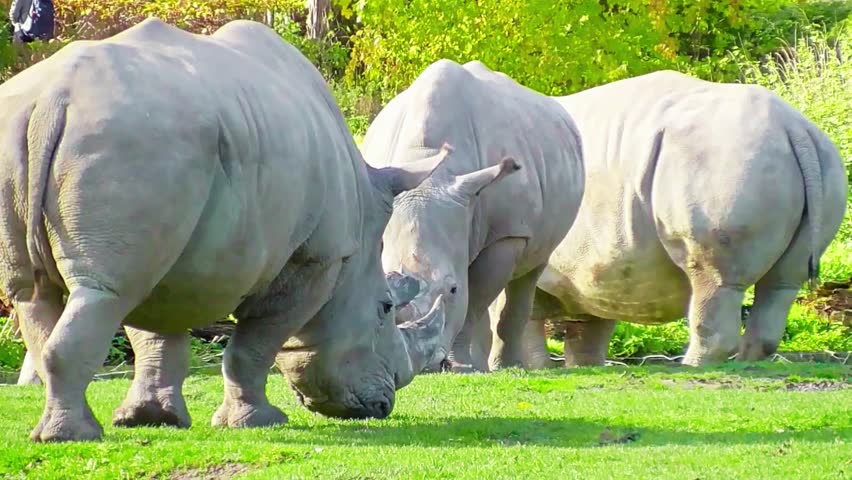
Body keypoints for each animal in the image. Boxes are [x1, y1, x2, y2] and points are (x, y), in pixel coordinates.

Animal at [0, 18, 448, 442]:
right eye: (385, 308)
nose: (382, 404)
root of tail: (52, 100)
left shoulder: (169, 256)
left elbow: (156, 334)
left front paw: (154, 419)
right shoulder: (316, 256)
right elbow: (254, 345)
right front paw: (258, 422)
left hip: (60, 142)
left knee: (36, 292)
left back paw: (56, 429)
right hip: (131, 141)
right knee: (104, 293)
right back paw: (73, 435)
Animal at [361, 59, 585, 372]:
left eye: (453, 289)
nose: (426, 366)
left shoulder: (508, 231)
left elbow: (475, 300)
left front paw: (460, 366)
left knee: (530, 272)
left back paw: (505, 367)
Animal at [501, 70, 847, 368]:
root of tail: (794, 128)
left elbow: (513, 319)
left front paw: (523, 368)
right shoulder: (592, 271)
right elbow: (585, 331)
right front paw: (575, 367)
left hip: (722, 160)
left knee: (714, 278)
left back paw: (693, 368)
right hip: (821, 164)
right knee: (782, 282)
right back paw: (747, 365)